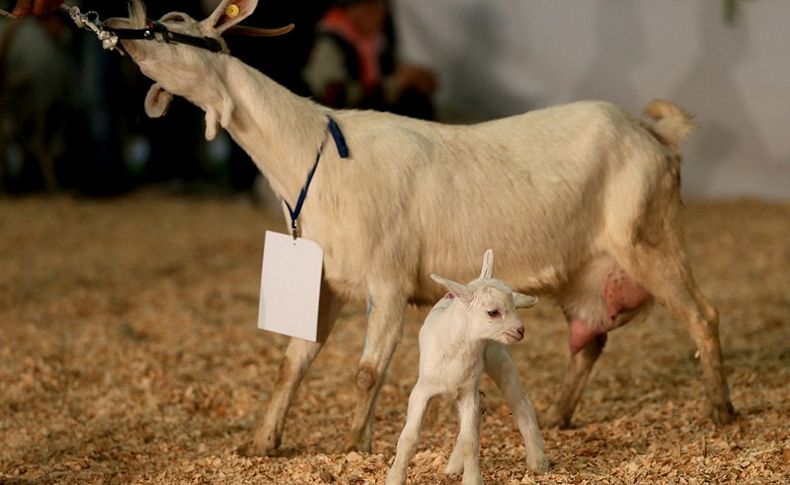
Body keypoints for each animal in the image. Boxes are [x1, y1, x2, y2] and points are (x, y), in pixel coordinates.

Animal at [105, 0, 736, 458]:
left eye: (174, 23)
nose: (115, 28)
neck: (314, 158)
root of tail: (652, 130)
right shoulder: (328, 280)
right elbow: (293, 361)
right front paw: (262, 443)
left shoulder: (386, 281)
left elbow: (366, 373)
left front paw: (354, 447)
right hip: (592, 271)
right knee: (591, 340)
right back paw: (557, 417)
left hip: (650, 237)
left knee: (703, 314)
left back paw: (721, 413)